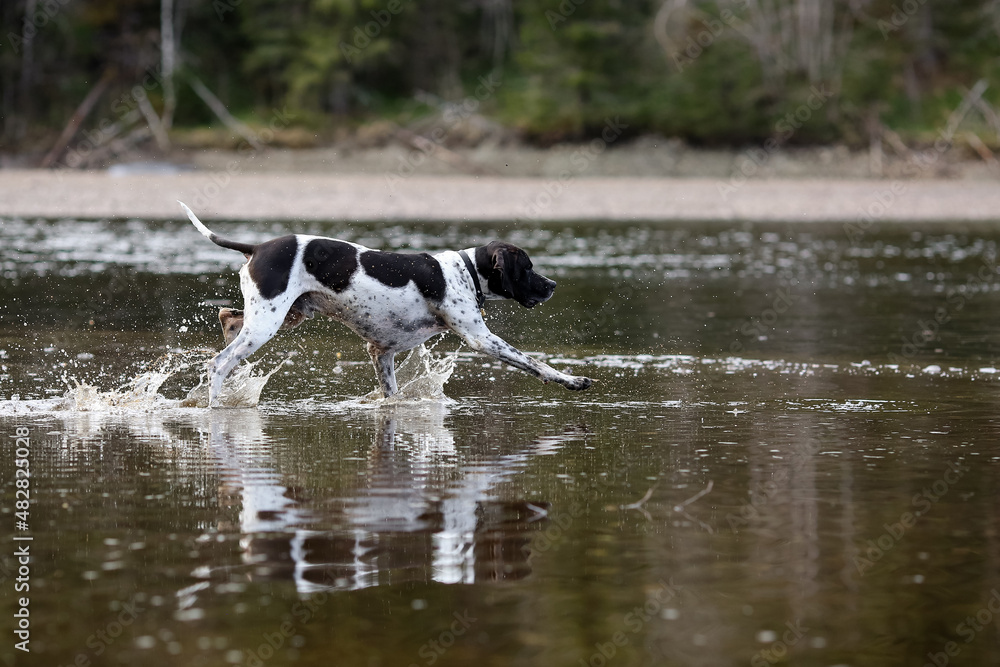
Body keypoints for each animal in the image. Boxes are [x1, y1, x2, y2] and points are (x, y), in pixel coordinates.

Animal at [179, 201, 588, 404]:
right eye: (527, 268)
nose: (552, 285)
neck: (464, 270)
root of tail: (257, 246)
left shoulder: (381, 352)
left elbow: (392, 395)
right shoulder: (482, 340)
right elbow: (534, 363)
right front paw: (571, 380)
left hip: (280, 316)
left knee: (226, 319)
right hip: (266, 324)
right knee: (218, 363)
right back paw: (215, 406)